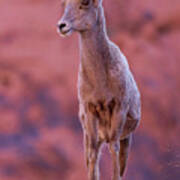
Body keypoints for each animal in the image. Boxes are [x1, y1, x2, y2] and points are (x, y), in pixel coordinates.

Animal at [57, 0, 140, 179]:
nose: (62, 26)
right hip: (90, 136)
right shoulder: (90, 112)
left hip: (126, 139)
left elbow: (114, 149)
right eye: (65, 3)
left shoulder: (119, 110)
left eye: (85, 3)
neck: (100, 81)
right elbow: (93, 155)